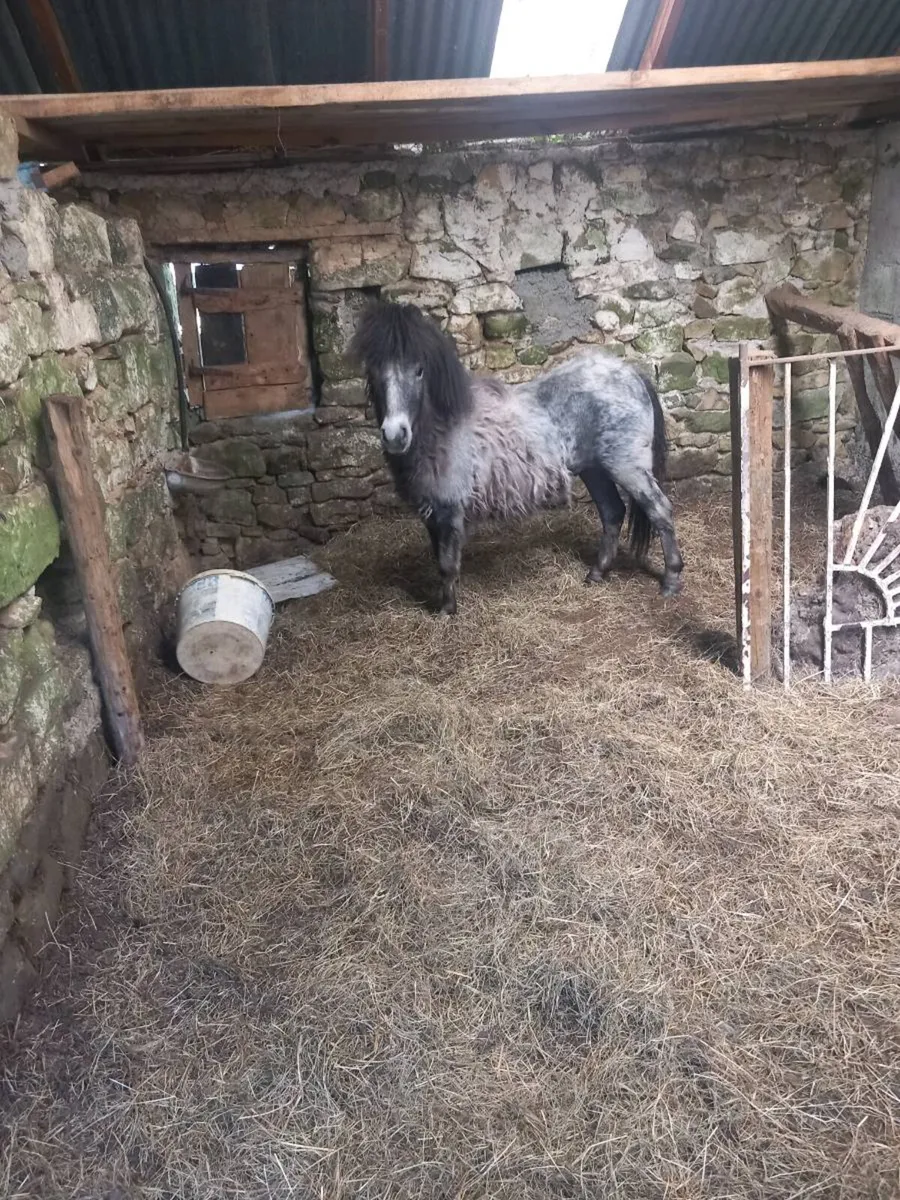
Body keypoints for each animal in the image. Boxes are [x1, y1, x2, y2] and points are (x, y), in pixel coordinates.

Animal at [350, 301, 684, 616]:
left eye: (419, 370)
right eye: (373, 370)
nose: (395, 435)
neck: (443, 430)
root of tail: (632, 374)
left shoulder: (450, 511)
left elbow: (447, 563)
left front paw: (447, 612)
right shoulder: (433, 513)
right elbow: (439, 560)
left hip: (628, 467)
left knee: (659, 510)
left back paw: (671, 581)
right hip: (595, 470)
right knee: (613, 513)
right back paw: (597, 573)